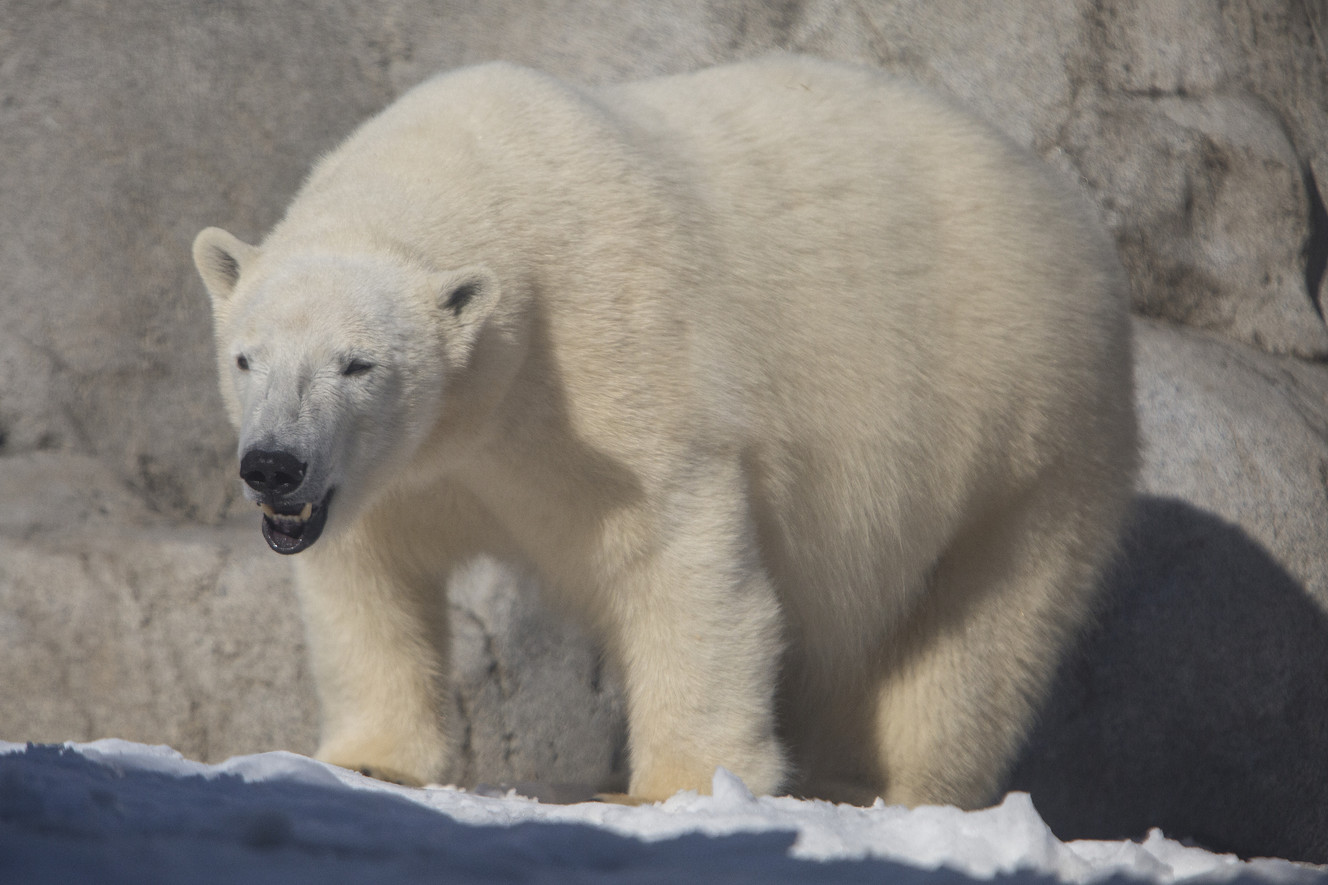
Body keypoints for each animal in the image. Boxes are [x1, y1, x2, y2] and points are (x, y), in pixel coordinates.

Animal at [192, 54, 1138, 807]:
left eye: (358, 364)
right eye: (246, 357)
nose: (273, 465)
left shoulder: (613, 355)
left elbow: (679, 553)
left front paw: (682, 785)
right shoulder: (398, 469)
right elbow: (369, 576)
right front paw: (366, 760)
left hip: (1020, 433)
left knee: (973, 632)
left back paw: (888, 785)